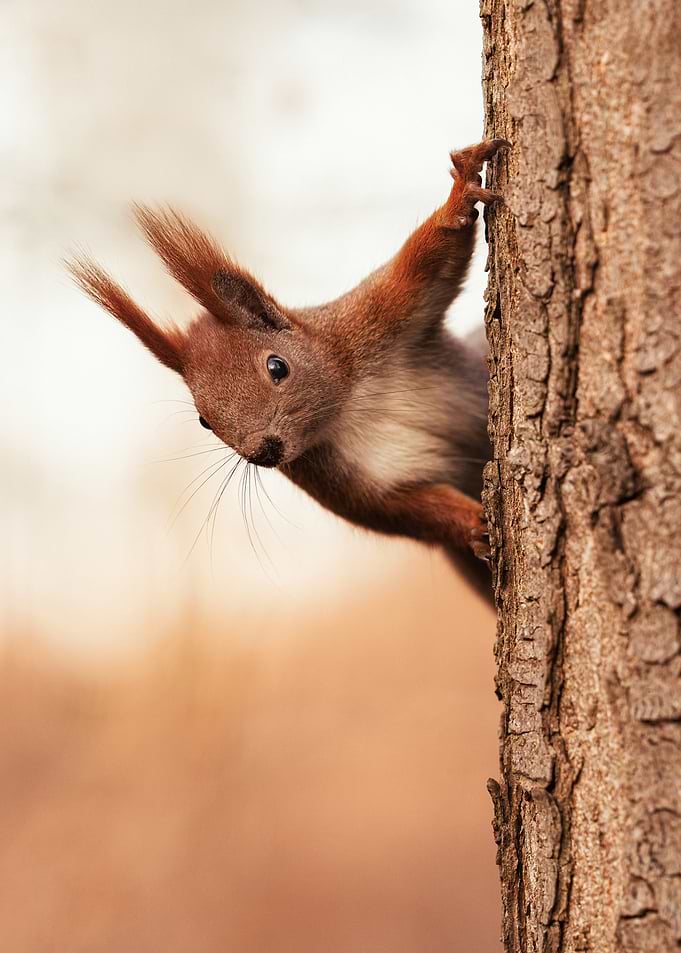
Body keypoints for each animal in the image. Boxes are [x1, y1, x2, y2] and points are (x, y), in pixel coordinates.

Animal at [68, 138, 508, 601]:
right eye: (204, 421)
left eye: (277, 366)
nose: (262, 452)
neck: (345, 409)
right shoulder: (334, 481)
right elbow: (408, 510)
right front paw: (473, 525)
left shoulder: (373, 318)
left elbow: (431, 258)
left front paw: (461, 192)